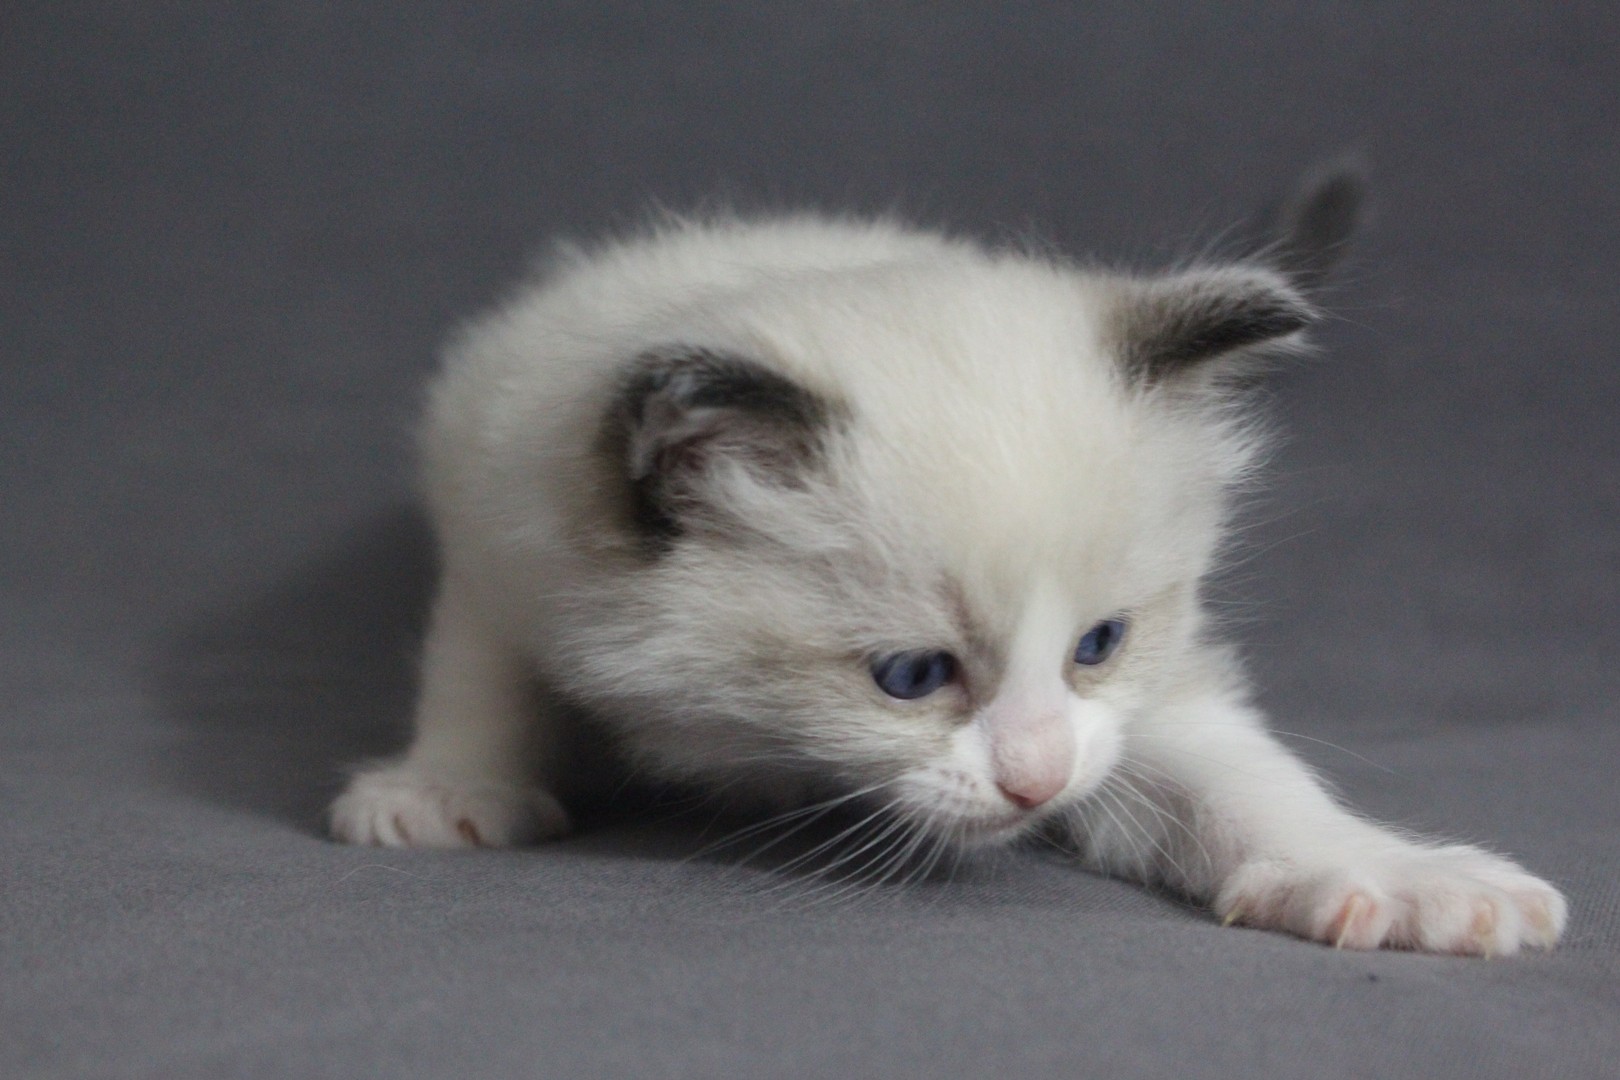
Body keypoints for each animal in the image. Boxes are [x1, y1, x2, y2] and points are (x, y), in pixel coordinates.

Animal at [330, 166, 1566, 955]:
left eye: (1099, 645)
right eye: (912, 676)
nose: (1037, 782)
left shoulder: (1139, 708)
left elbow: (1244, 784)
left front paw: (1391, 878)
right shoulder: (501, 518)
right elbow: (479, 671)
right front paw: (448, 788)